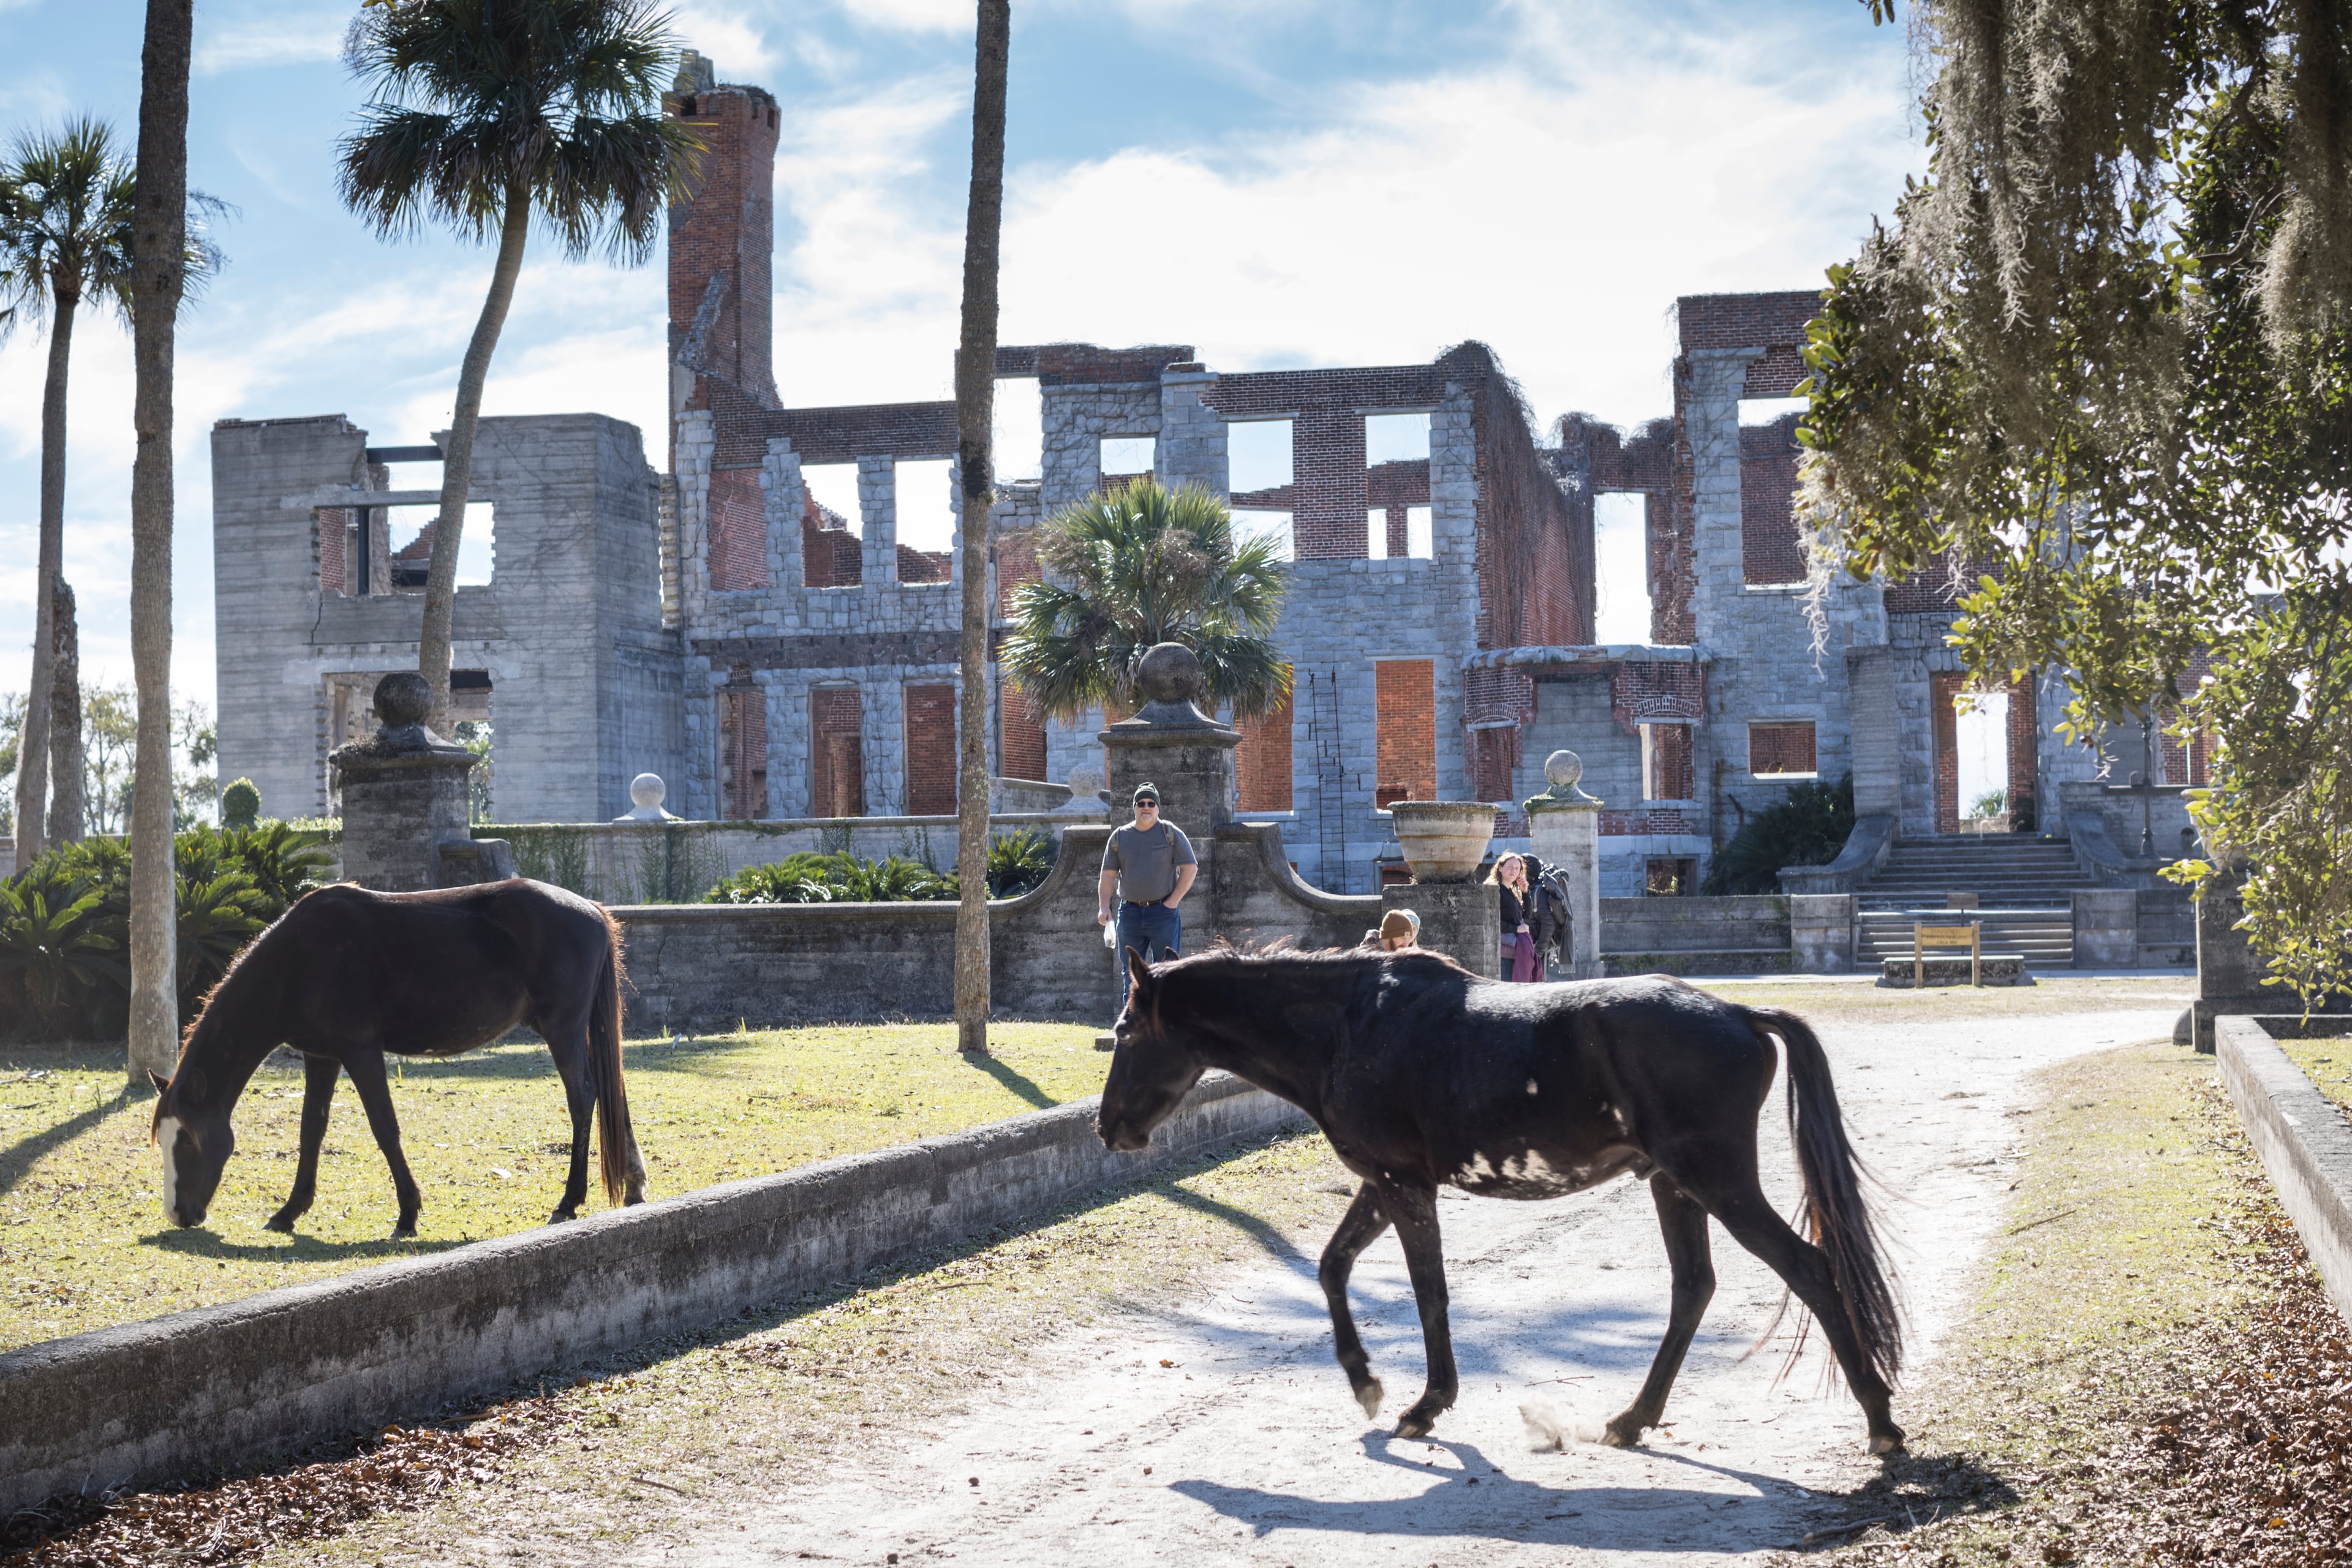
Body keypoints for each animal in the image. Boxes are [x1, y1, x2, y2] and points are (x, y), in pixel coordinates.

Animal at [149, 878, 645, 1238]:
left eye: (188, 1141)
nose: (178, 1214)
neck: (298, 960)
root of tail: (592, 910)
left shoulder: (360, 1051)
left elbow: (384, 1129)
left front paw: (407, 1215)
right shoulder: (321, 1057)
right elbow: (311, 1132)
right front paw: (290, 1211)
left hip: (562, 1029)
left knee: (583, 1098)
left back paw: (569, 1201)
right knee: (611, 1091)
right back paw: (634, 1183)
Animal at [1097, 945, 1905, 1454]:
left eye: (1125, 1030)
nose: (1108, 1128)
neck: (1351, 1023)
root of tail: (1740, 1013)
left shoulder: (1404, 1184)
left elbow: (1429, 1292)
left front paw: (1426, 1402)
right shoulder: (1384, 1182)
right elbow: (1332, 1267)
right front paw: (1363, 1378)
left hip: (1718, 1180)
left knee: (1811, 1269)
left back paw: (1879, 1420)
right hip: (1675, 1182)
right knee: (1693, 1288)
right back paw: (1635, 1418)